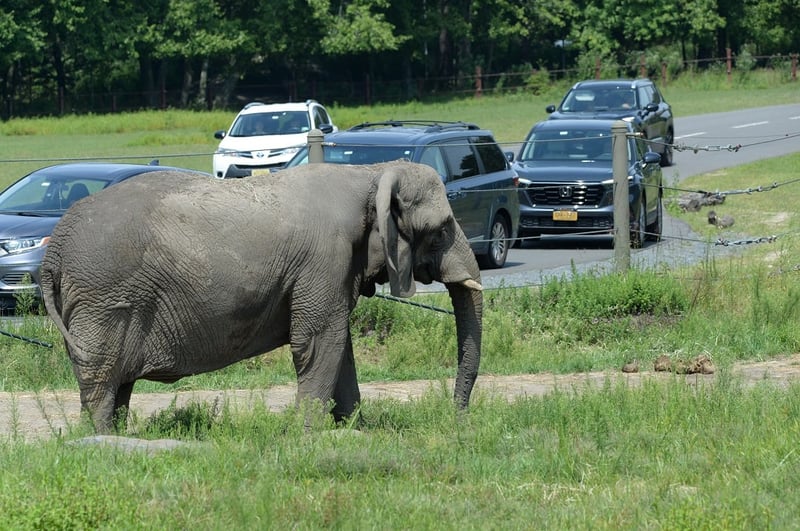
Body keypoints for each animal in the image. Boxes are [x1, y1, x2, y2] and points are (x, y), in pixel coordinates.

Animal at [40, 160, 483, 433]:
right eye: (442, 230)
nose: (457, 421)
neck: (370, 175)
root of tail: (53, 249)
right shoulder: (325, 258)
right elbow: (320, 341)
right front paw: (310, 436)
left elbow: (339, 344)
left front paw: (352, 429)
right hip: (103, 297)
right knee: (102, 379)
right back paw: (102, 441)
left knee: (118, 382)